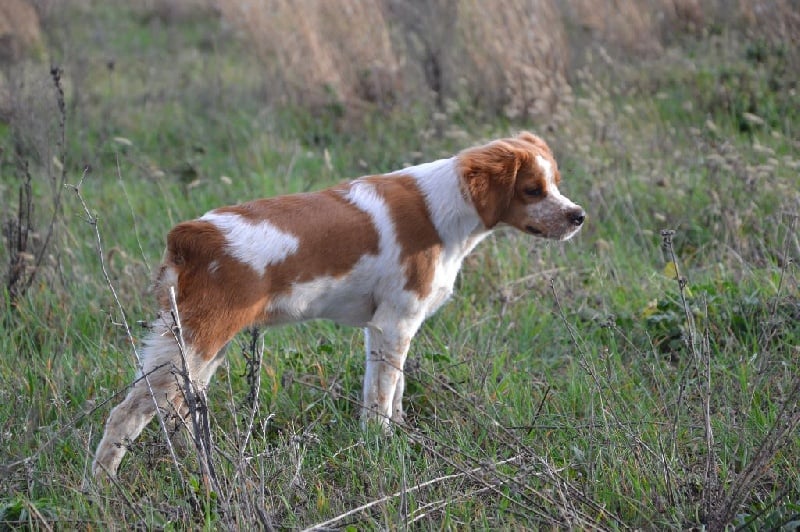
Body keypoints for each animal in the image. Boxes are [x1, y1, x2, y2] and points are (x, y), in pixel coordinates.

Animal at [92, 131, 588, 476]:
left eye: (557, 184)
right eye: (532, 190)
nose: (578, 216)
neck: (446, 208)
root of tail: (191, 236)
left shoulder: (386, 329)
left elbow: (396, 390)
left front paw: (400, 435)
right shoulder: (395, 323)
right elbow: (380, 399)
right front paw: (380, 446)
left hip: (196, 349)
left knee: (173, 411)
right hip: (194, 344)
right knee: (125, 415)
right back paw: (101, 488)